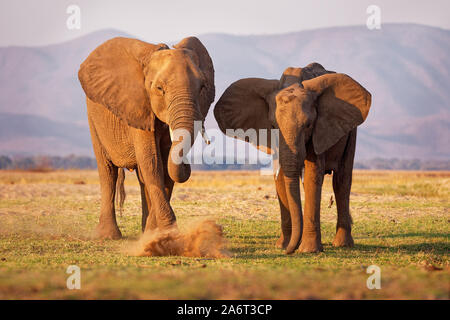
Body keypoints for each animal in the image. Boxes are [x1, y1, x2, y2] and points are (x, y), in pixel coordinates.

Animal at [78, 36, 214, 239]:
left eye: (203, 87)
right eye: (159, 88)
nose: (188, 163)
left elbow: (164, 169)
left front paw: (154, 233)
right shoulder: (138, 107)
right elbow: (152, 163)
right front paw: (168, 234)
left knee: (141, 177)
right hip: (94, 118)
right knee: (107, 171)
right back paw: (108, 236)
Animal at [214, 63, 372, 252]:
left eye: (308, 125)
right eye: (273, 125)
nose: (290, 251)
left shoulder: (319, 130)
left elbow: (312, 176)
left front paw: (308, 250)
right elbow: (281, 179)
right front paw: (283, 245)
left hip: (350, 132)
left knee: (342, 181)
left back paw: (342, 244)